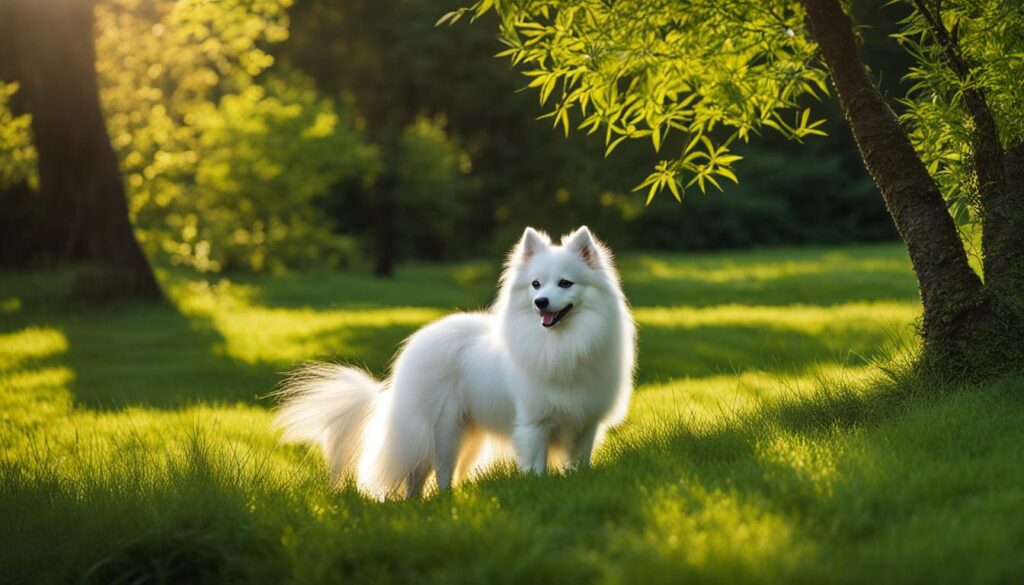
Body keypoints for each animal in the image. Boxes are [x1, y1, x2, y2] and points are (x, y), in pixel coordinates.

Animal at [276, 226, 634, 502]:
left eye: (565, 283)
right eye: (535, 284)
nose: (540, 302)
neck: (561, 343)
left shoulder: (587, 422)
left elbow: (580, 462)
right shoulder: (535, 424)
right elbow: (536, 465)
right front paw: (538, 487)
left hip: (464, 435)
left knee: (425, 476)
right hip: (442, 430)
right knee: (433, 473)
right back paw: (440, 504)